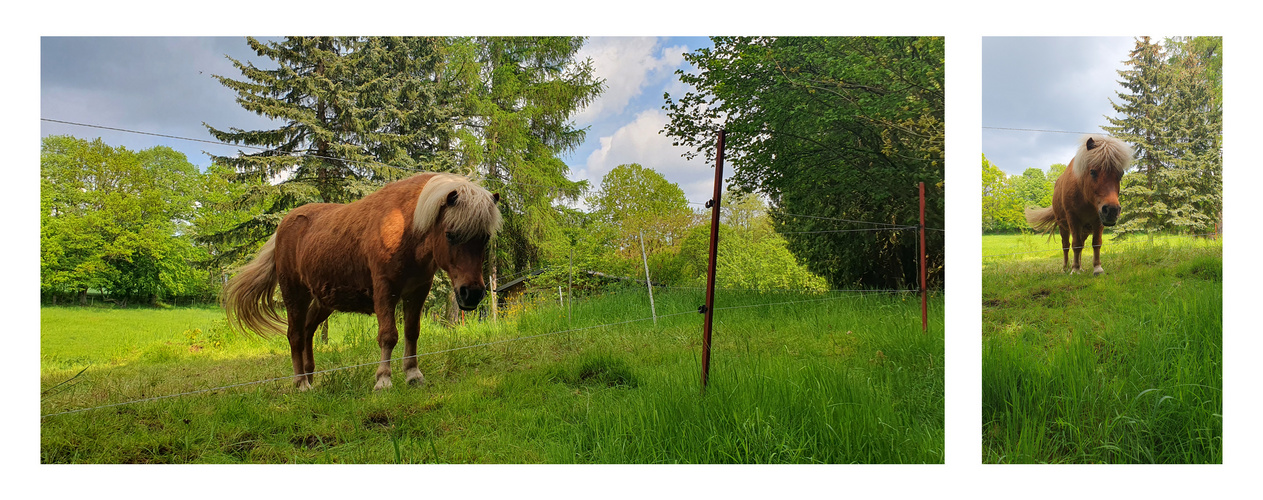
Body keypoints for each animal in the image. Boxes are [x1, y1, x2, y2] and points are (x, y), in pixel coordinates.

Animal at [224, 172, 500, 391]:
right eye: (451, 235)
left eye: (485, 238)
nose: (472, 293)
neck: (405, 227)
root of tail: (283, 225)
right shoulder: (385, 290)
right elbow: (388, 335)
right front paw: (383, 380)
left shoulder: (418, 291)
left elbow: (412, 332)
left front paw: (413, 375)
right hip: (294, 292)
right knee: (294, 335)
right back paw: (301, 383)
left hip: (324, 301)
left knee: (307, 331)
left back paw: (310, 376)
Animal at [1025, 134, 1136, 275]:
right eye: (1093, 171)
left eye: (1120, 174)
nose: (1112, 210)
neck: (1085, 198)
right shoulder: (1073, 219)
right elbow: (1075, 244)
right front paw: (1075, 269)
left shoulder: (1098, 220)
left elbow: (1096, 243)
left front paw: (1097, 268)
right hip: (1063, 227)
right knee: (1066, 246)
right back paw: (1065, 268)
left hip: (1085, 229)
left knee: (1081, 245)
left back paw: (1081, 266)